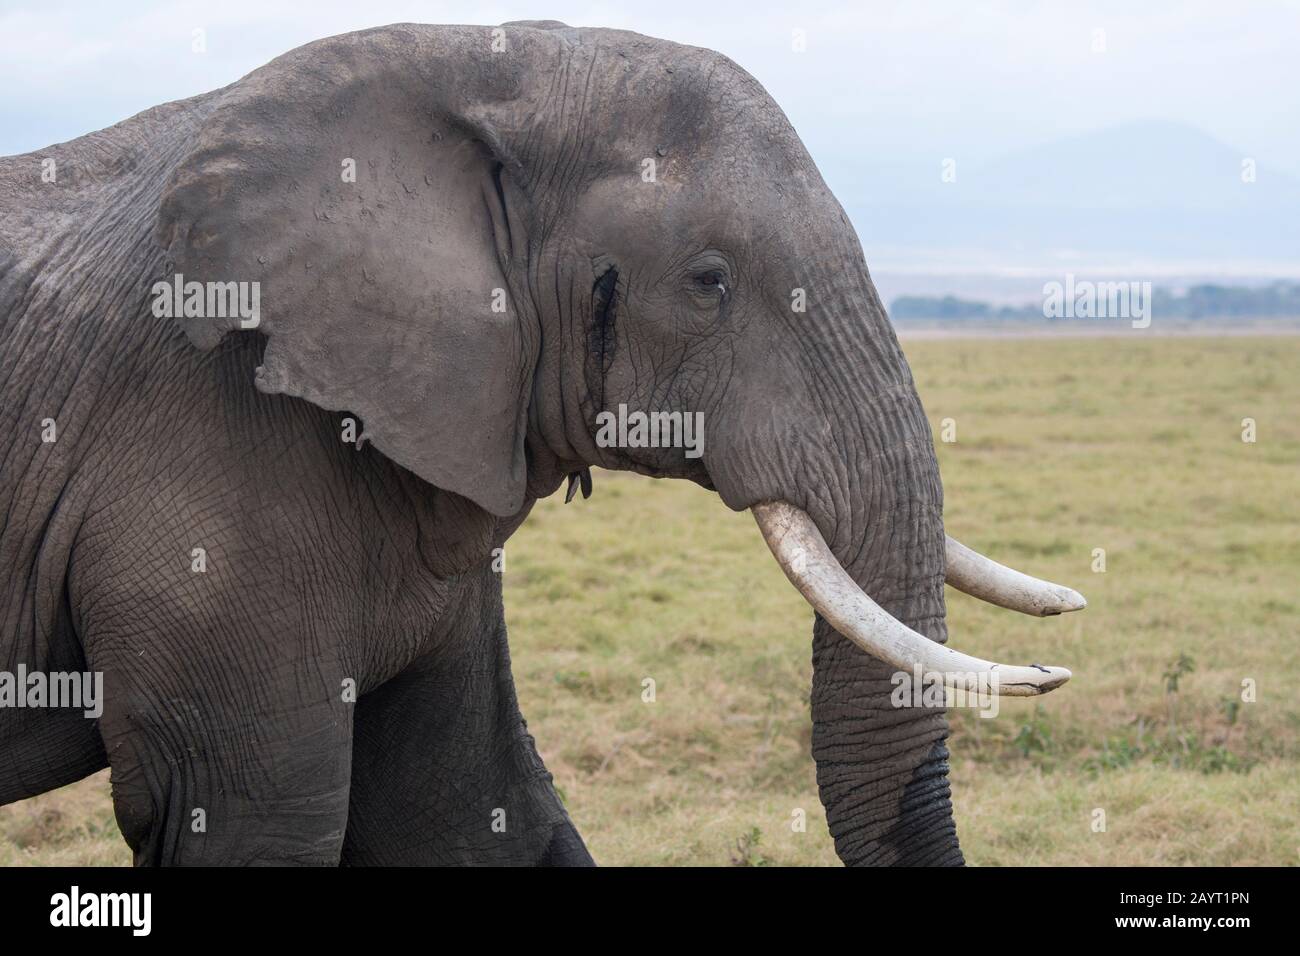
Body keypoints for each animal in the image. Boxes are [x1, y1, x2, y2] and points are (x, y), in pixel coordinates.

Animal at [0, 20, 1081, 868]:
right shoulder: (209, 458)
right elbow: (255, 816)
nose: (1057, 656)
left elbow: (466, 804)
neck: (478, 60)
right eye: (708, 281)